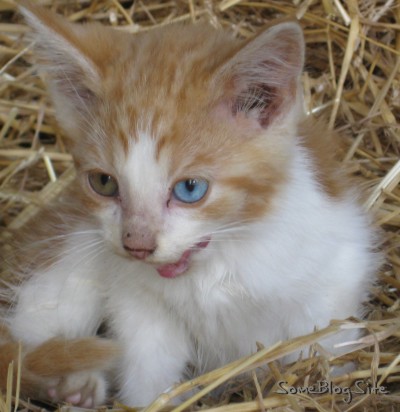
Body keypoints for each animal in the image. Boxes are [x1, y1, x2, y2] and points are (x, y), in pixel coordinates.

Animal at [2, 0, 378, 406]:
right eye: (104, 183)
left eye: (190, 189)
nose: (137, 245)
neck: (213, 267)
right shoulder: (137, 300)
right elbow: (148, 365)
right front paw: (149, 401)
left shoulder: (339, 264)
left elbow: (329, 339)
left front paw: (334, 381)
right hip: (70, 249)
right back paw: (71, 383)